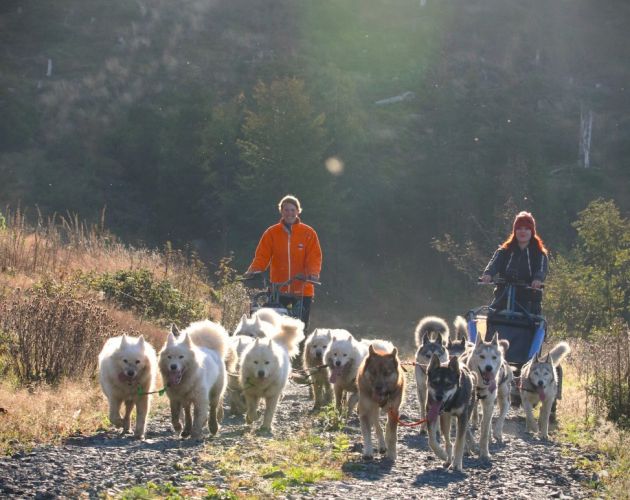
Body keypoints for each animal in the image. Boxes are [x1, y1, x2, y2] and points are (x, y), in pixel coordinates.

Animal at [464, 332, 512, 460]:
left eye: (494, 357)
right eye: (482, 356)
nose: (489, 367)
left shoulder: (489, 403)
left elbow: (484, 431)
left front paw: (485, 453)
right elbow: (466, 430)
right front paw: (470, 446)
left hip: (503, 394)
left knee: (503, 409)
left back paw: (496, 433)